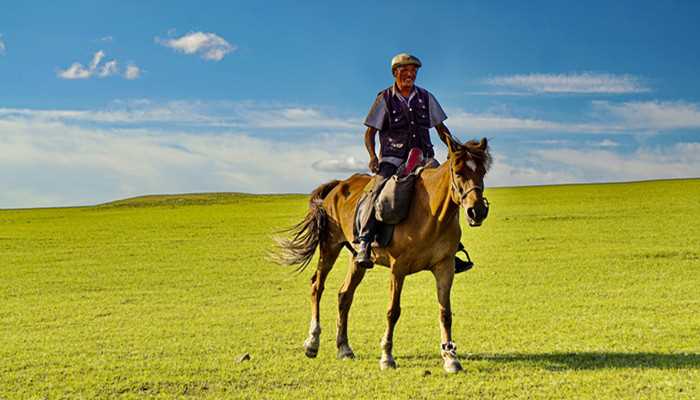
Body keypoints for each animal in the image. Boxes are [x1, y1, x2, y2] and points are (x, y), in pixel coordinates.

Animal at [276, 136, 490, 374]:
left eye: (482, 172)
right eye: (459, 172)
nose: (477, 211)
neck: (431, 214)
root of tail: (338, 185)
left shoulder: (445, 266)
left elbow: (445, 313)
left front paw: (450, 357)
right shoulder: (398, 268)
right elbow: (393, 311)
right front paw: (387, 356)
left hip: (357, 259)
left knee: (344, 295)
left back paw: (344, 348)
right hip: (330, 247)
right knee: (317, 286)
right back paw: (312, 342)